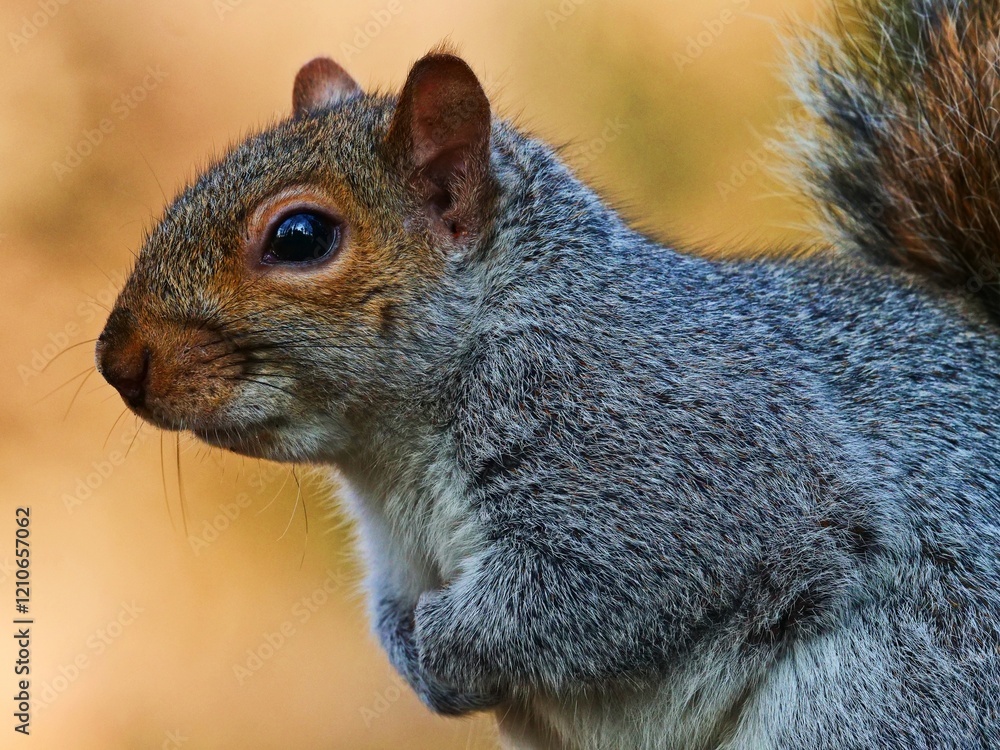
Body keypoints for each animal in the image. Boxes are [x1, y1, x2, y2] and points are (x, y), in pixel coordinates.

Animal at [95, 1, 1000, 748]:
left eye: (300, 236)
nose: (116, 361)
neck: (392, 457)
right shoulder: (394, 550)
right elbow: (396, 609)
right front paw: (413, 655)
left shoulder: (676, 456)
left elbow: (596, 591)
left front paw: (446, 643)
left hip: (879, 693)